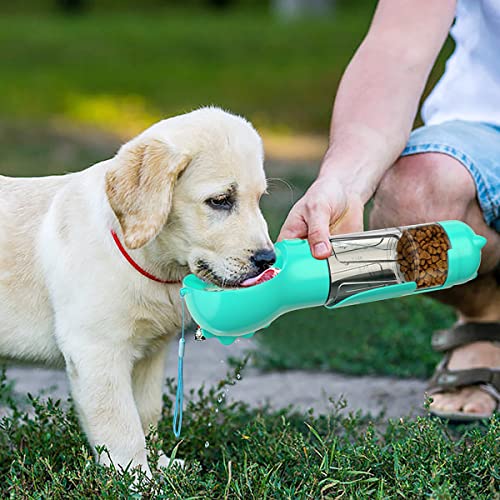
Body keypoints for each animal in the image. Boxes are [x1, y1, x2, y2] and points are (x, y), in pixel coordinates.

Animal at [0, 106, 274, 476]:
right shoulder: (96, 351)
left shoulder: (149, 354)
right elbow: (121, 426)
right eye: (220, 201)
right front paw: (137, 478)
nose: (268, 259)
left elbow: (146, 414)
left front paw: (161, 465)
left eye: (259, 199)